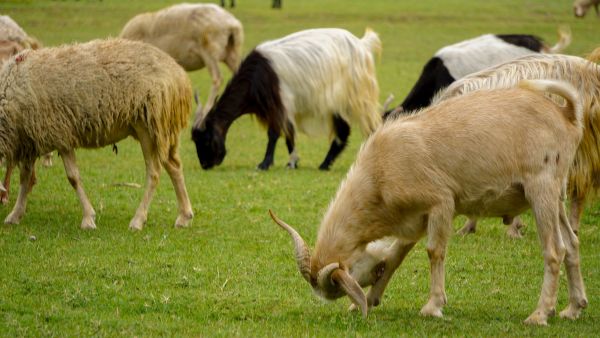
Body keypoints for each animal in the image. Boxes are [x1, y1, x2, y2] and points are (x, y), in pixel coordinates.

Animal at [0, 38, 193, 231]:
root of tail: (179, 74)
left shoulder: (60, 134)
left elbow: (73, 178)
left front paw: (88, 218)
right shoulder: (28, 140)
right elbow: (25, 179)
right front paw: (15, 214)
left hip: (148, 125)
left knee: (154, 172)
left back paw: (138, 219)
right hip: (162, 130)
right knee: (174, 166)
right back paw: (184, 216)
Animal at [192, 28, 380, 172]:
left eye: (206, 139)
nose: (205, 164)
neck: (256, 75)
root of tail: (362, 44)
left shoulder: (278, 102)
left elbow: (274, 133)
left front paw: (265, 164)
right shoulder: (285, 106)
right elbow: (289, 133)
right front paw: (292, 163)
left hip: (353, 96)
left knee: (364, 128)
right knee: (343, 131)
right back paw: (325, 164)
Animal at [270, 78, 584, 324]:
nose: (363, 290)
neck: (380, 170)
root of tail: (566, 114)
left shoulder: (441, 202)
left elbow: (434, 252)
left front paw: (433, 306)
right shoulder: (414, 219)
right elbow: (396, 256)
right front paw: (371, 299)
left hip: (541, 189)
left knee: (554, 250)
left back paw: (540, 314)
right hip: (555, 196)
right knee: (571, 244)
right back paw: (572, 308)